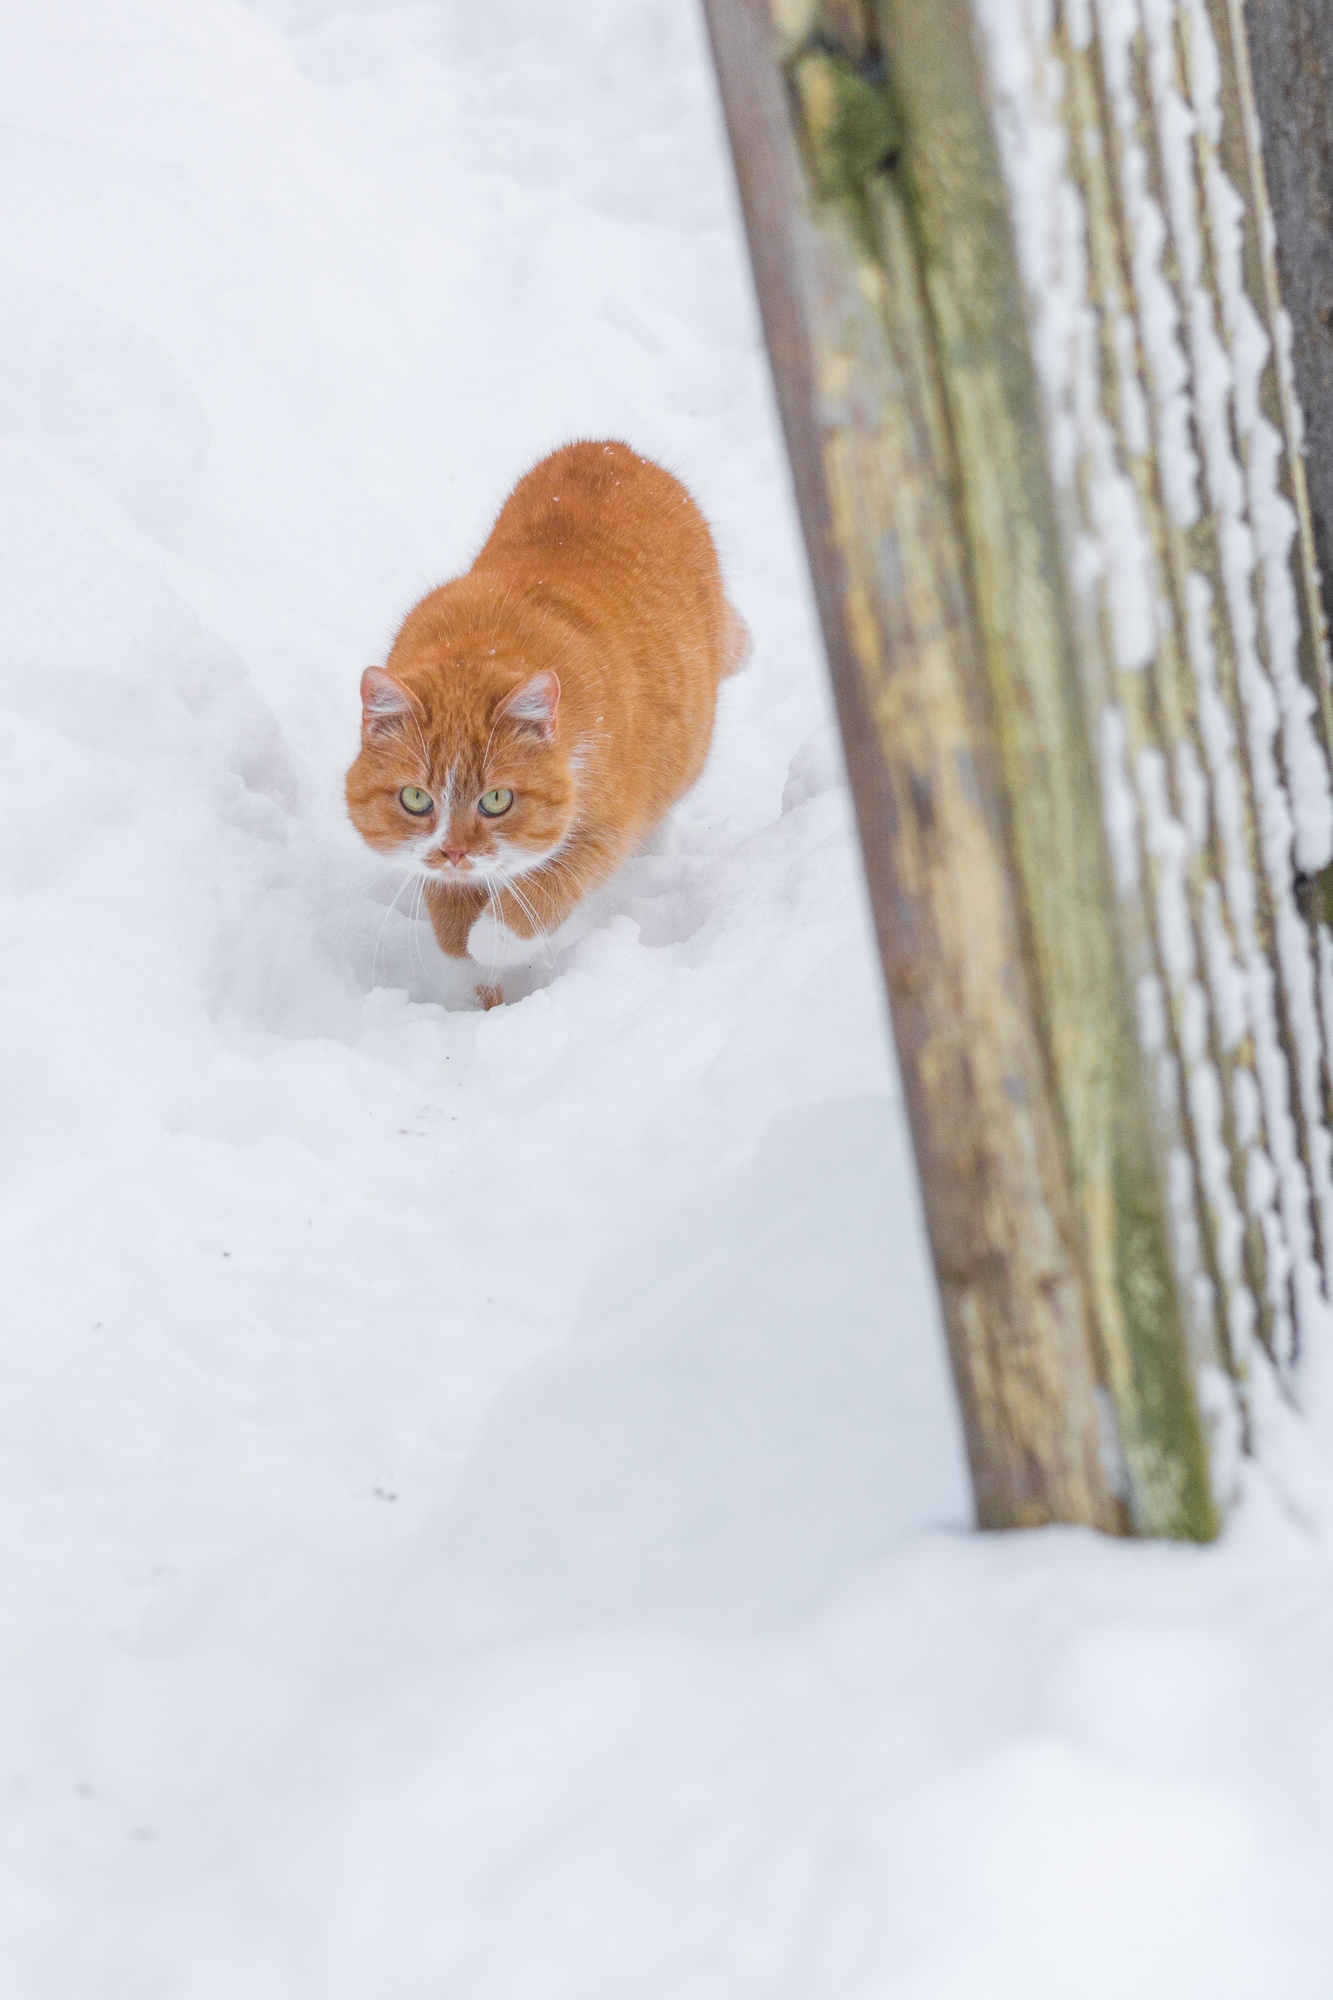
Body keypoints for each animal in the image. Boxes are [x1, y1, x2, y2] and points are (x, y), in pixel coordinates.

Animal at [344, 438, 748, 1000]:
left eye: (497, 800)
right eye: (415, 799)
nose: (454, 853)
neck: (476, 650)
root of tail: (611, 446)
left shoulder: (605, 824)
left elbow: (551, 883)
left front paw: (492, 938)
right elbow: (447, 914)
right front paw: (464, 968)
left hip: (681, 753)